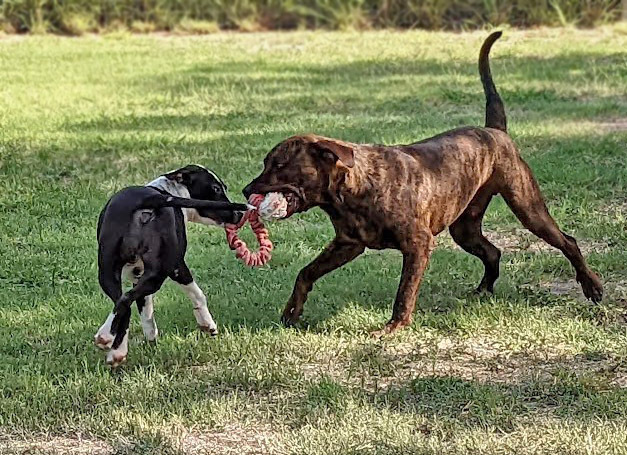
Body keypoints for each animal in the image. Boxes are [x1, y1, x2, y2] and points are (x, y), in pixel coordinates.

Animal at [95, 166, 248, 368]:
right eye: (216, 188)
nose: (239, 215)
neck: (168, 191)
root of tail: (150, 199)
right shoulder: (177, 267)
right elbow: (198, 295)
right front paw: (208, 324)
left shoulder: (139, 275)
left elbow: (145, 310)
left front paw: (148, 338)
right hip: (159, 272)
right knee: (126, 299)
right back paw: (107, 339)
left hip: (108, 272)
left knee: (123, 302)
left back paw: (115, 349)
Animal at [244, 32, 604, 336]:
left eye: (278, 164)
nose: (247, 191)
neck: (353, 189)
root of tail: (495, 131)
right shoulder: (347, 244)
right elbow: (306, 272)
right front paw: (292, 311)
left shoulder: (417, 245)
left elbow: (405, 291)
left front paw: (394, 327)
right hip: (465, 228)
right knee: (493, 251)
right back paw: (483, 290)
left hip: (527, 207)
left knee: (568, 242)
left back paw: (592, 286)